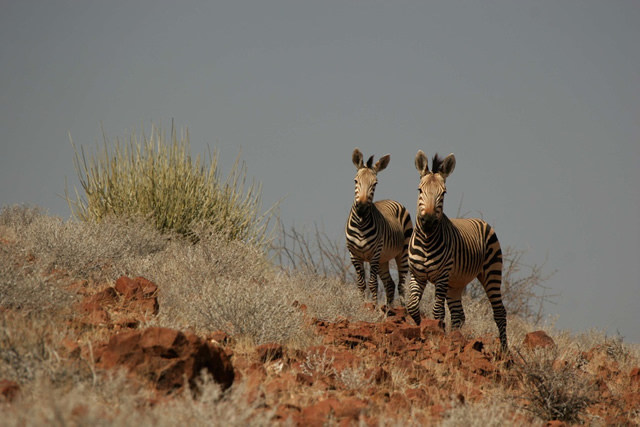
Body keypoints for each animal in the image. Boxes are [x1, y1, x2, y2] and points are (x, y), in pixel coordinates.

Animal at [344, 149, 416, 306]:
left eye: (375, 184)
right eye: (355, 181)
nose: (361, 208)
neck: (361, 224)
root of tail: (391, 199)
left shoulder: (374, 255)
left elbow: (372, 284)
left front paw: (375, 307)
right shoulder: (354, 255)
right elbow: (361, 284)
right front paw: (361, 306)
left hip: (402, 253)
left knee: (401, 285)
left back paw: (403, 308)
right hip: (383, 259)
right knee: (390, 284)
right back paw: (389, 309)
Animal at [408, 150, 508, 352]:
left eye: (443, 193)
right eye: (420, 190)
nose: (428, 222)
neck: (426, 241)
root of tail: (481, 220)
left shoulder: (441, 277)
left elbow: (437, 311)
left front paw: (435, 335)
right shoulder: (417, 274)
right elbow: (413, 306)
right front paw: (420, 328)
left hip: (491, 272)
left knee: (500, 311)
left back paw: (504, 351)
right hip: (455, 283)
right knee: (458, 316)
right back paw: (455, 338)